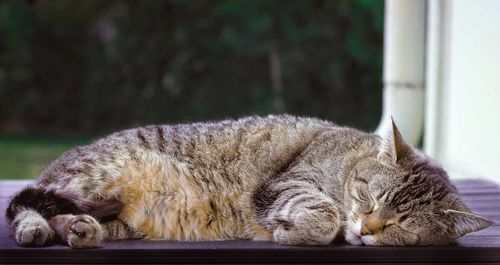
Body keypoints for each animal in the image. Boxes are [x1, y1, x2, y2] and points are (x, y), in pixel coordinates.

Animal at [4, 114, 492, 246]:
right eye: (369, 199)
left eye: (400, 225)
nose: (369, 229)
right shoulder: (285, 183)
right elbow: (324, 215)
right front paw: (295, 232)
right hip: (95, 176)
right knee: (24, 206)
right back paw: (36, 229)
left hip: (116, 217)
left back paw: (79, 231)